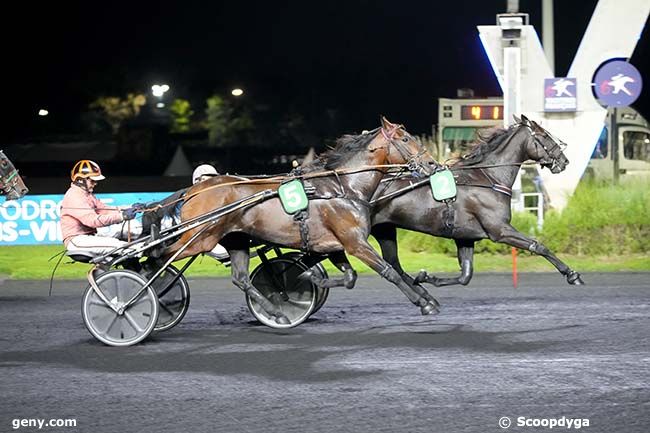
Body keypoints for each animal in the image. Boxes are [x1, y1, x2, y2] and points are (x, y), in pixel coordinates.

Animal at [166, 118, 440, 324]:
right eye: (405, 139)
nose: (432, 163)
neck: (343, 187)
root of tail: (194, 191)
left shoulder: (333, 245)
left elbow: (350, 277)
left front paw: (309, 278)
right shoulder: (355, 243)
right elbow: (388, 272)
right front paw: (423, 303)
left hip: (236, 240)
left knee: (241, 278)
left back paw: (276, 312)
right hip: (199, 238)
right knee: (161, 256)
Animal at [368, 116, 584, 288]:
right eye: (545, 136)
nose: (564, 161)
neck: (489, 178)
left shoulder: (465, 237)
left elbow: (465, 275)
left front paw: (425, 277)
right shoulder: (499, 230)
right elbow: (538, 246)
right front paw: (572, 274)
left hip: (385, 231)